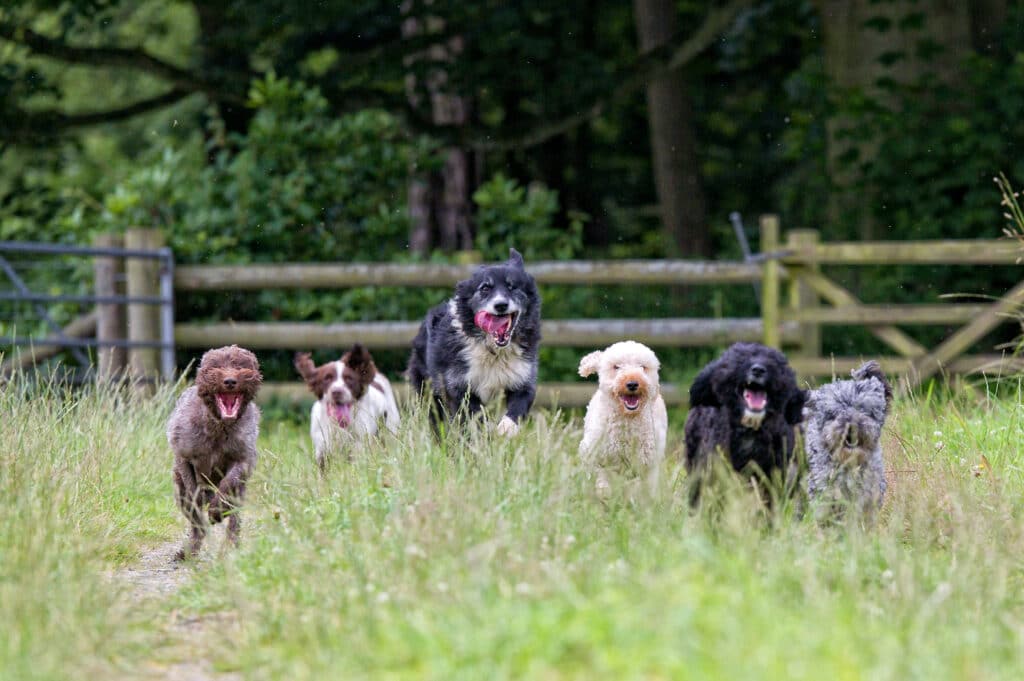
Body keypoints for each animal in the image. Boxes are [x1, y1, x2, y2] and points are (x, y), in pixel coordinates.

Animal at [165, 342, 262, 561]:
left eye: (240, 366)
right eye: (216, 366)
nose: (230, 381)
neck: (219, 427)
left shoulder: (243, 458)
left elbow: (228, 483)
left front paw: (217, 510)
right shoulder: (184, 457)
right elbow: (193, 493)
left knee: (234, 520)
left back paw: (230, 546)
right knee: (195, 520)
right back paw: (190, 549)